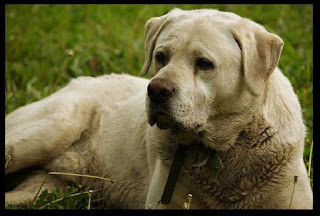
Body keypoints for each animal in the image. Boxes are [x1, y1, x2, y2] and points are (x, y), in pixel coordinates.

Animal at [5, 8, 312, 209]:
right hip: (49, 131)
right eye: (160, 57)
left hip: (44, 187)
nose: (156, 91)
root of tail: (76, 82)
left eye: (204, 63)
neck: (221, 150)